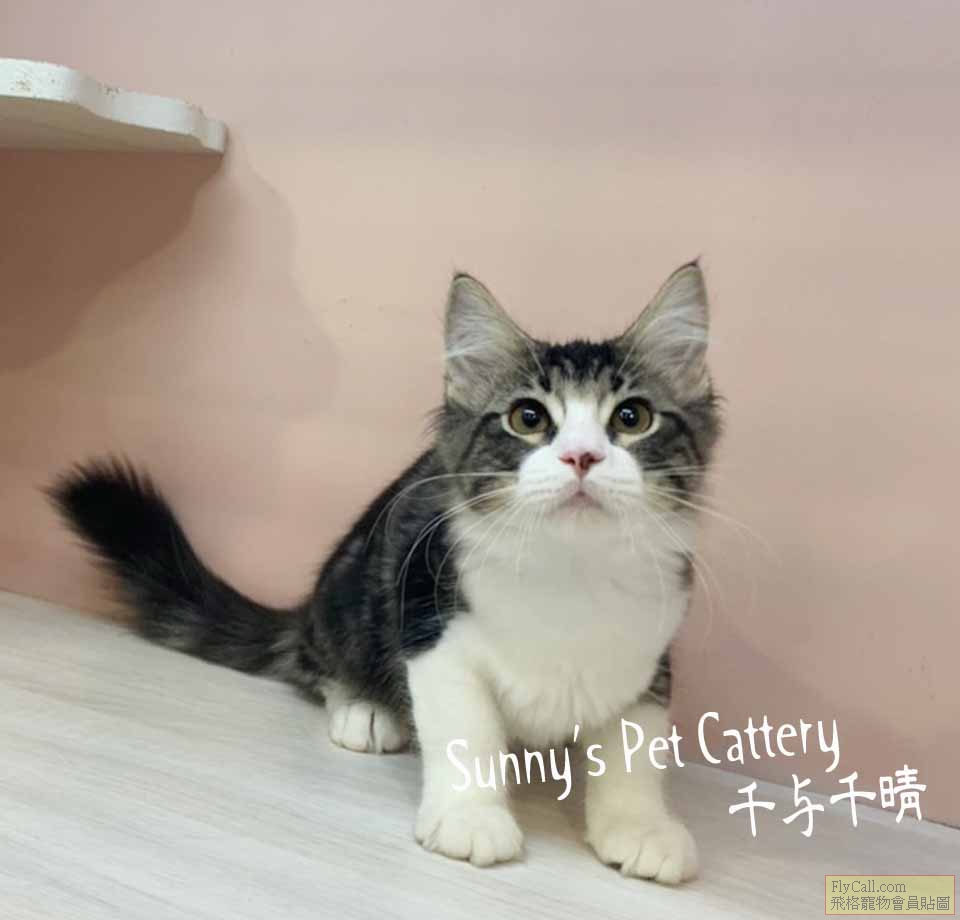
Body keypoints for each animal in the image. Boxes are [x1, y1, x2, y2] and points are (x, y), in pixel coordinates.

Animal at [50, 262, 720, 883]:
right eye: (528, 419)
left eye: (632, 418)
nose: (582, 456)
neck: (572, 569)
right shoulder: (433, 627)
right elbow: (467, 731)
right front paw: (471, 816)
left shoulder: (650, 659)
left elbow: (635, 752)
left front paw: (641, 826)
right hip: (352, 596)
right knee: (318, 663)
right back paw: (365, 709)